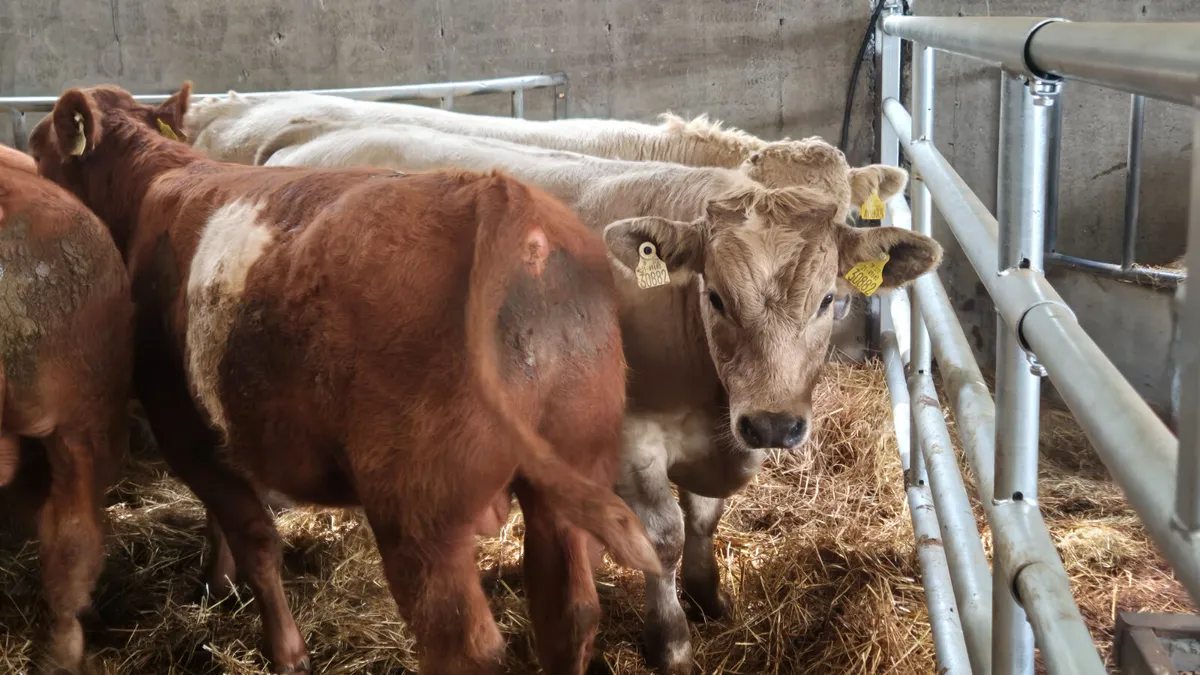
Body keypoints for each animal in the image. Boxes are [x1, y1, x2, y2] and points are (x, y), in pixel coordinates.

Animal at [29, 82, 661, 675]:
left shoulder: (181, 423)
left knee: (464, 643)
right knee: (569, 615)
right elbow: (226, 523)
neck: (154, 185)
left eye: (36, 150)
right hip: (571, 463)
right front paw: (216, 580)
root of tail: (500, 198)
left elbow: (257, 539)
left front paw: (285, 651)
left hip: (418, 510)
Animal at [184, 108, 944, 673]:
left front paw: (709, 598)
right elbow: (662, 536)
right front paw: (672, 643)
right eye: (717, 296)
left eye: (828, 299)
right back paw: (225, 578)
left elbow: (704, 518)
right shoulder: (633, 437)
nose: (776, 426)